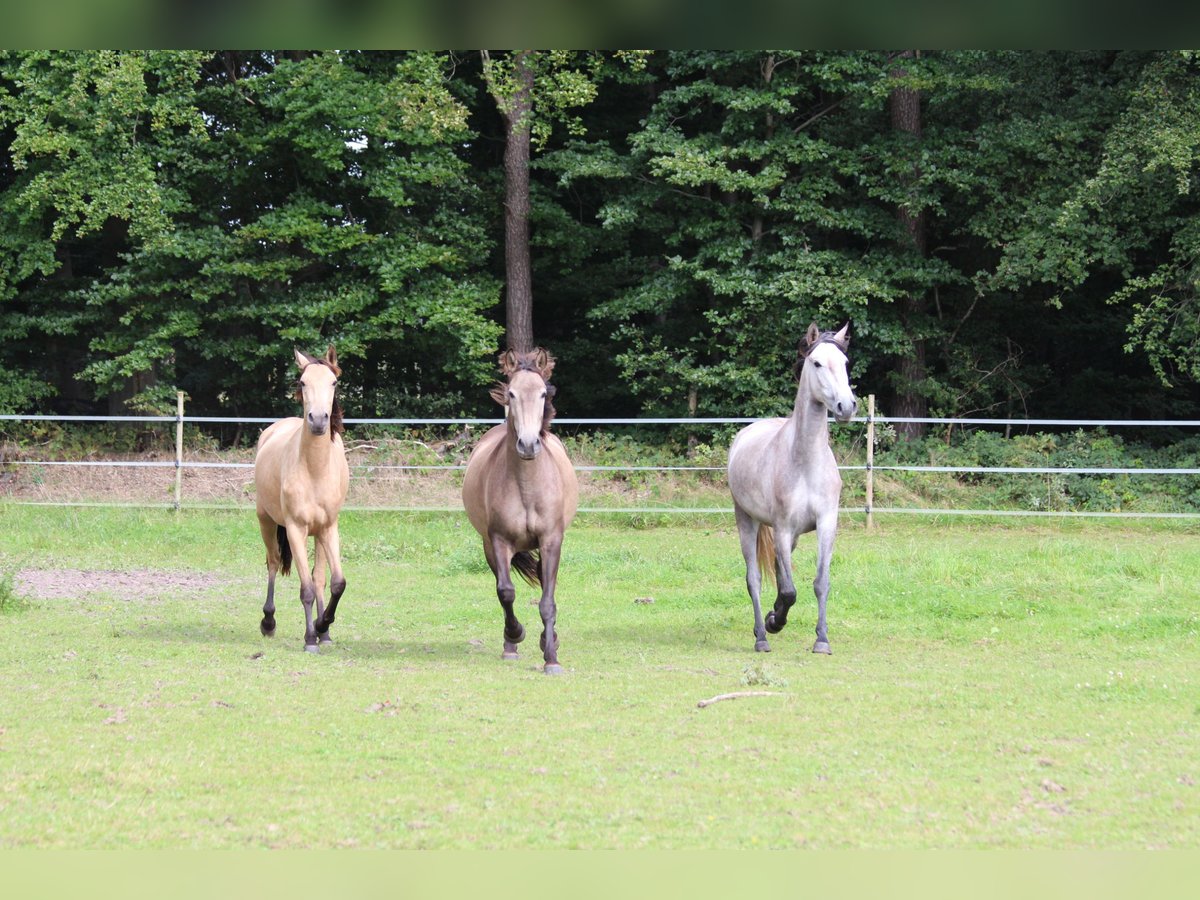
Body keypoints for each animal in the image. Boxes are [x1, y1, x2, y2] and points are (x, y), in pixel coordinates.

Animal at [460, 348, 578, 672]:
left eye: (542, 394)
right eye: (511, 393)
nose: (527, 444)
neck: (527, 485)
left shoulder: (551, 540)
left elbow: (547, 601)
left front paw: (551, 657)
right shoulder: (498, 541)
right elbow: (506, 591)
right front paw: (515, 635)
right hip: (489, 547)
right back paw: (510, 645)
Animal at [724, 324, 859, 657]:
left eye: (845, 363)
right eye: (817, 363)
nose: (846, 406)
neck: (806, 462)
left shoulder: (826, 524)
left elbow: (820, 582)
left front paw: (821, 639)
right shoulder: (783, 529)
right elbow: (789, 589)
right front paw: (775, 622)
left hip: (793, 535)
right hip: (746, 520)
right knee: (755, 579)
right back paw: (762, 634)